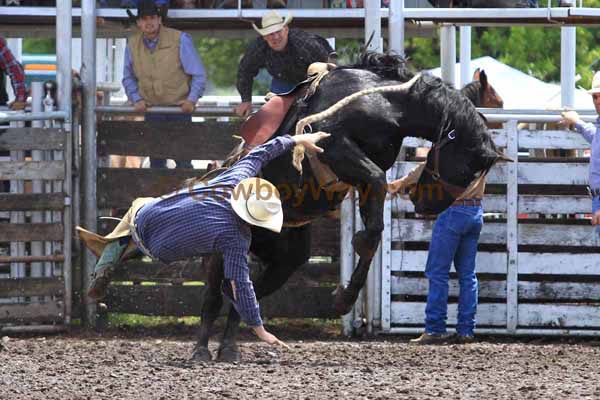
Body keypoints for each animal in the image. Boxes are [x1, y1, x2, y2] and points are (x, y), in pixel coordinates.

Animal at [196, 51, 506, 360]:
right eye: (465, 169)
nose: (427, 206)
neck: (390, 105)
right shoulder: (334, 146)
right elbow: (377, 186)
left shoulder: (363, 178)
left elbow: (375, 231)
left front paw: (345, 298)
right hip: (222, 244)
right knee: (213, 295)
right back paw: (201, 350)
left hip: (286, 259)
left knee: (243, 294)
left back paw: (229, 348)